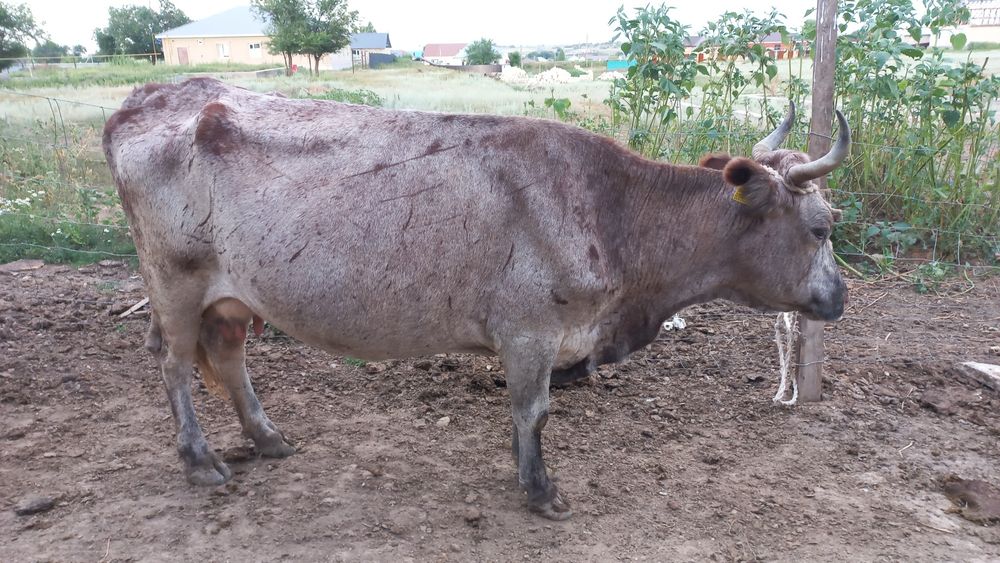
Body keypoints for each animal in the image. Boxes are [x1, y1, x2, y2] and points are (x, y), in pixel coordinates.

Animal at [103, 77, 849, 520]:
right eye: (822, 225)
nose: (841, 296)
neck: (612, 213)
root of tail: (156, 93)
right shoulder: (530, 330)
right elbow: (533, 412)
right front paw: (541, 490)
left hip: (230, 296)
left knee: (227, 358)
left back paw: (267, 437)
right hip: (174, 279)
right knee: (173, 365)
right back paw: (201, 460)